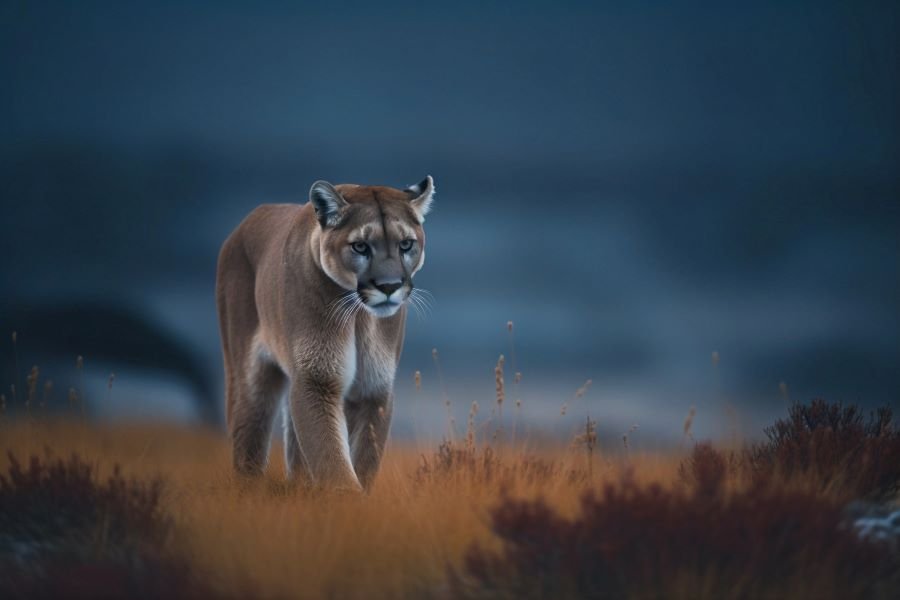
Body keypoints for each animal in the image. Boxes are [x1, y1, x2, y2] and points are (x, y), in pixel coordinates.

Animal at [215, 176, 435, 491]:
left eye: (406, 244)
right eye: (360, 247)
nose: (389, 285)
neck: (359, 318)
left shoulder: (373, 388)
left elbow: (364, 456)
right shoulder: (316, 378)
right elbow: (330, 457)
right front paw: (347, 500)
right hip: (248, 375)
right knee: (249, 431)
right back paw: (249, 488)